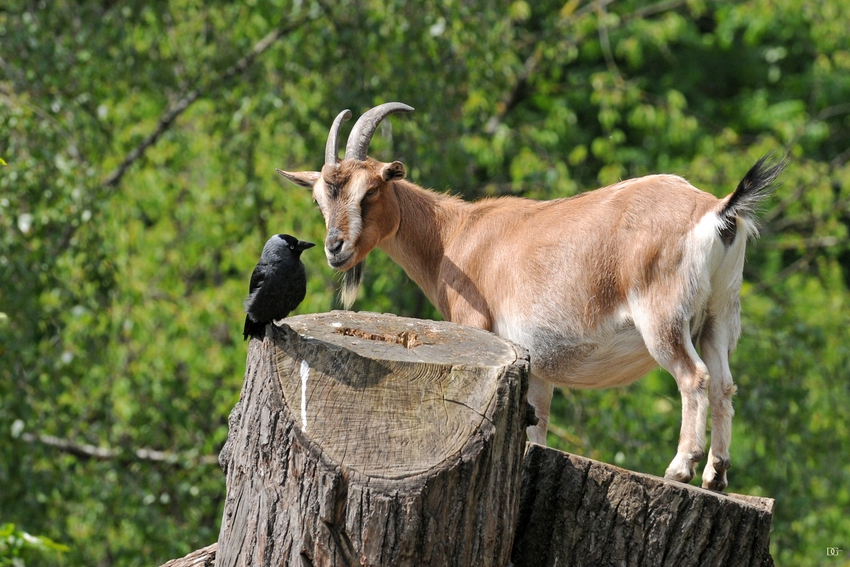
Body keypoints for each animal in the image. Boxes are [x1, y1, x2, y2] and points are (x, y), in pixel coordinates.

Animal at [282, 103, 784, 492]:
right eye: (321, 199)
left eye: (370, 191)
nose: (335, 248)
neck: (456, 236)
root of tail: (717, 211)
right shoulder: (536, 366)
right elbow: (537, 429)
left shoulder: (478, 329)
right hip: (719, 316)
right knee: (723, 383)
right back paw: (716, 476)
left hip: (664, 319)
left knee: (694, 377)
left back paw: (680, 469)